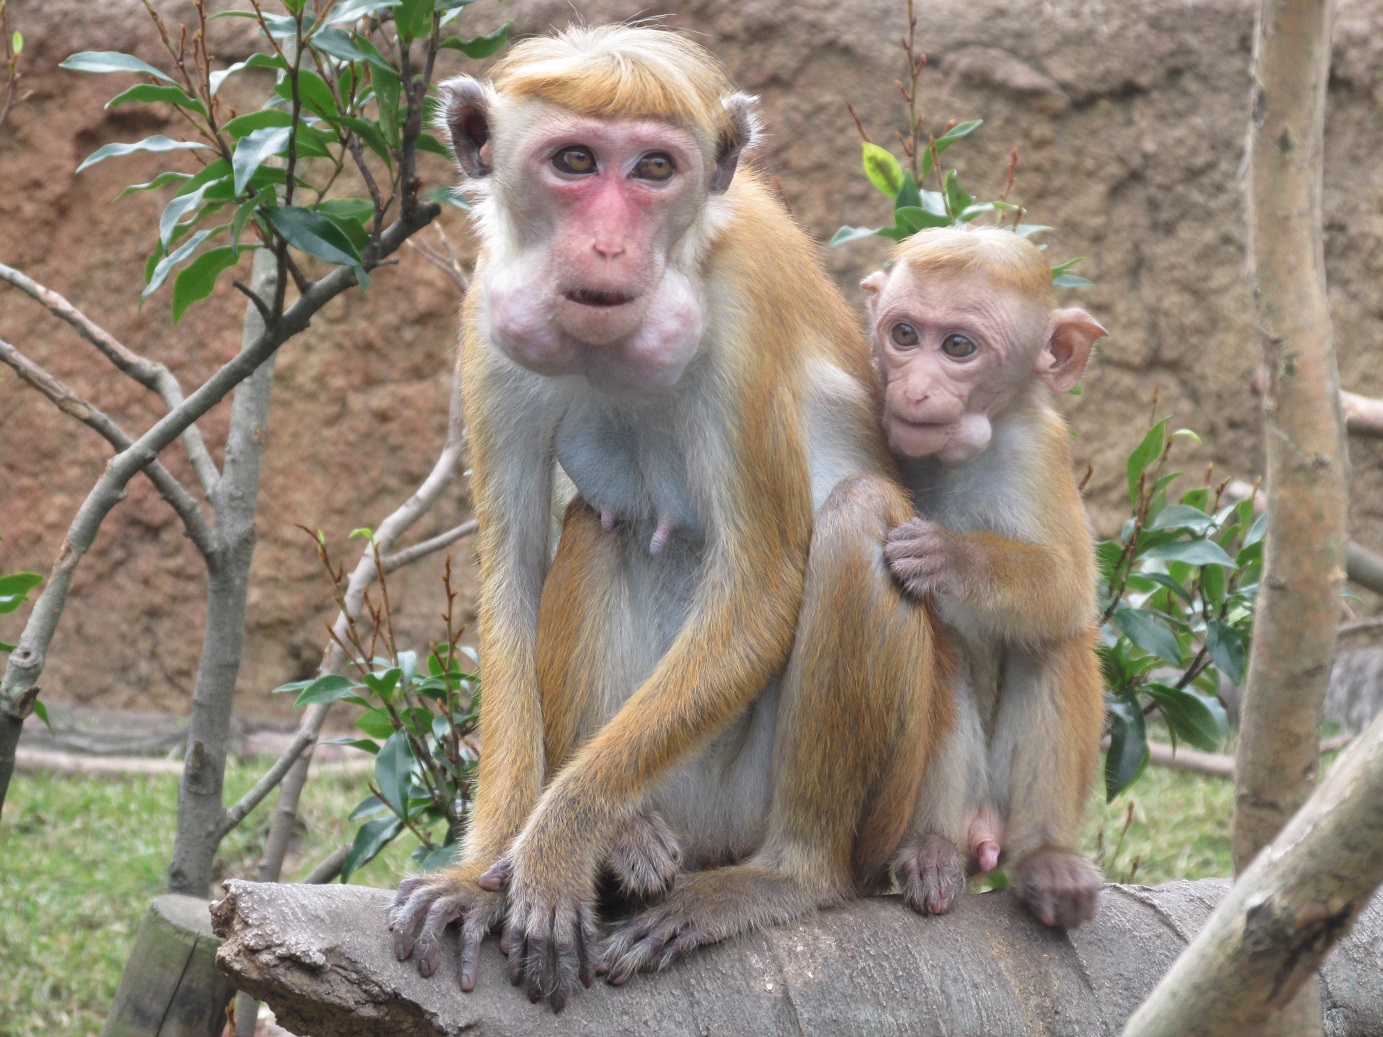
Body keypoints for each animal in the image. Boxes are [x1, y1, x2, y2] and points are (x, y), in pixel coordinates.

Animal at [390, 26, 951, 1017]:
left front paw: (559, 840)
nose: (610, 245)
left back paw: (778, 875)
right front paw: (482, 869)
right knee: (595, 528)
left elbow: (761, 579)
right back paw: (631, 842)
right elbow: (512, 569)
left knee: (857, 520)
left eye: (654, 168)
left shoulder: (744, 310)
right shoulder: (489, 316)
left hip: (838, 804)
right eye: (575, 162)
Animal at [862, 229, 1111, 934]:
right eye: (905, 334)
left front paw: (949, 557)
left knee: (1054, 642)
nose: (916, 389)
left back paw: (1045, 858)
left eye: (958, 348)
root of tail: (984, 831)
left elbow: (1067, 591)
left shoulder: (1040, 449)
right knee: (942, 649)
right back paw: (932, 845)